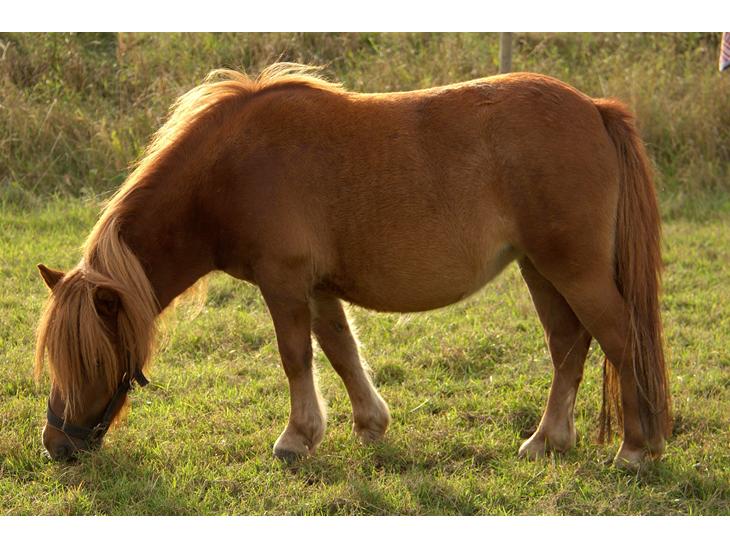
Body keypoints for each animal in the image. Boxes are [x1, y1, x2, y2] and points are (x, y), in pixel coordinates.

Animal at [35, 63, 671, 469]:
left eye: (91, 358)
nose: (58, 446)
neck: (231, 170)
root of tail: (594, 109)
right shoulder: (317, 288)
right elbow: (340, 352)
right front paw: (369, 425)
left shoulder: (284, 282)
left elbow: (297, 356)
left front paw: (296, 440)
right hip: (541, 269)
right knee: (569, 345)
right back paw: (547, 441)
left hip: (572, 270)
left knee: (619, 338)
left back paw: (635, 451)